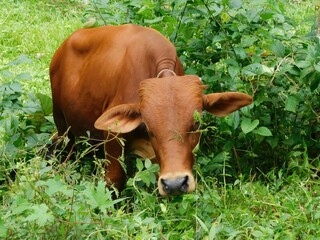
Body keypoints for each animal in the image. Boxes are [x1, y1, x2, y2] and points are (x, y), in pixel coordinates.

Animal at [49, 23, 252, 197]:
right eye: (148, 128)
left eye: (196, 124)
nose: (176, 183)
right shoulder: (113, 138)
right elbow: (114, 181)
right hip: (62, 125)